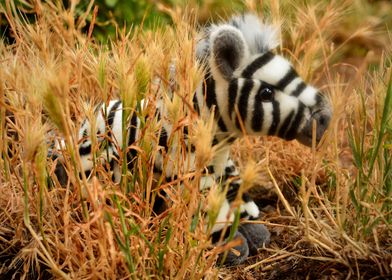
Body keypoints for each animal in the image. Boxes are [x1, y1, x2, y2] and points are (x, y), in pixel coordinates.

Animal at [50, 14, 332, 266]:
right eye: (266, 93)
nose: (326, 118)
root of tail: (93, 114)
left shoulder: (223, 164)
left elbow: (234, 190)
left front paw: (251, 226)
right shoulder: (185, 172)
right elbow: (206, 207)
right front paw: (229, 245)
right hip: (94, 163)